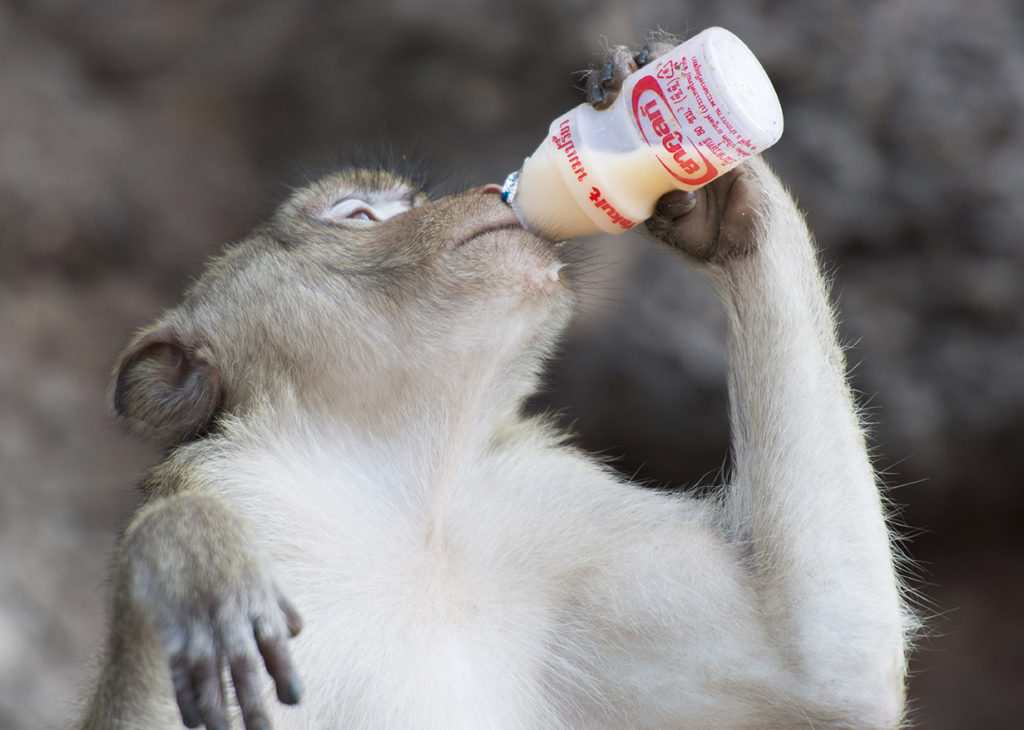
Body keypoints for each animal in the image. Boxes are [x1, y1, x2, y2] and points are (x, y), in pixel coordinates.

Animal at [81, 38, 913, 728]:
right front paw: (186, 552)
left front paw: (705, 164)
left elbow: (826, 663)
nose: (493, 190)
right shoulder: (239, 484)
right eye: (359, 215)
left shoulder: (538, 509)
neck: (403, 488)